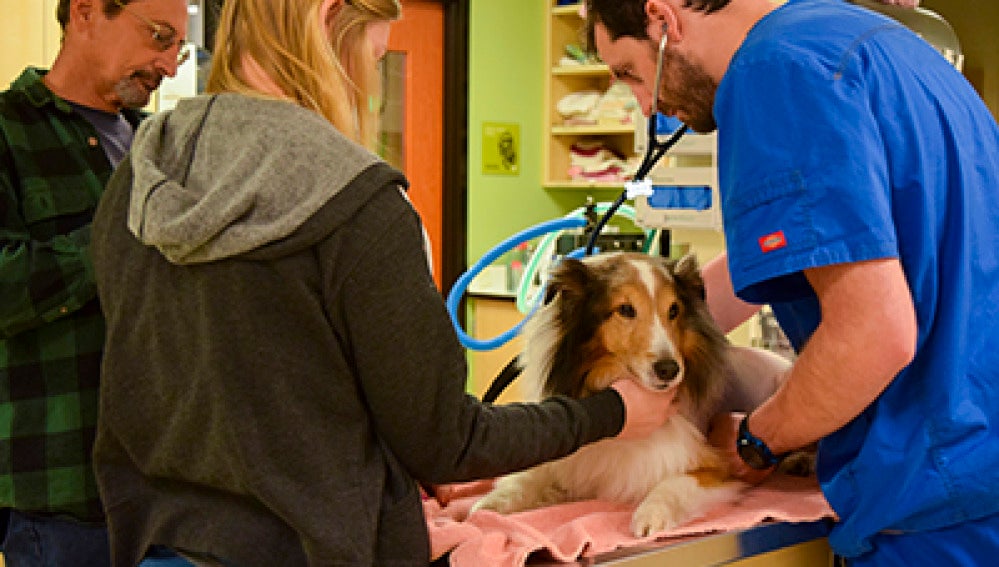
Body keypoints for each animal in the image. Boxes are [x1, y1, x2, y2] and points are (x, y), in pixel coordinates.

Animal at [472, 252, 792, 536]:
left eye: (673, 310)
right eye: (626, 309)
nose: (669, 369)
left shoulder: (719, 466)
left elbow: (673, 484)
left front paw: (650, 515)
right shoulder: (570, 462)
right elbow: (527, 478)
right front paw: (488, 505)